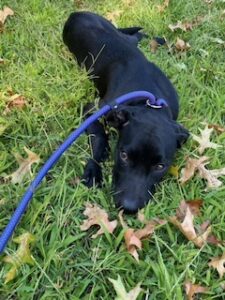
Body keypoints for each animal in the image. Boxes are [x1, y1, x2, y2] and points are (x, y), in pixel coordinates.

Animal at [62, 12, 188, 213]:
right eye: (123, 156)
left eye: (160, 166)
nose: (128, 208)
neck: (147, 99)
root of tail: (77, 13)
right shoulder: (92, 109)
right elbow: (99, 138)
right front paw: (93, 172)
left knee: (137, 36)